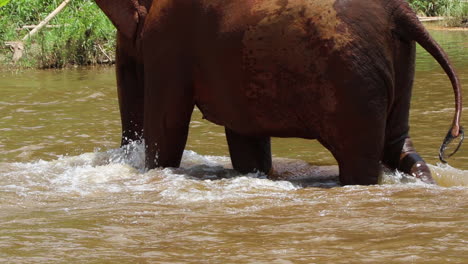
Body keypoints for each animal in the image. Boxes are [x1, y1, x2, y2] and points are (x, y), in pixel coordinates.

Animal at [93, 0, 462, 185]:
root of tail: (401, 10)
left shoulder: (168, 36)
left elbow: (168, 127)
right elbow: (246, 140)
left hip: (353, 74)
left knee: (360, 156)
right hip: (395, 59)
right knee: (398, 144)